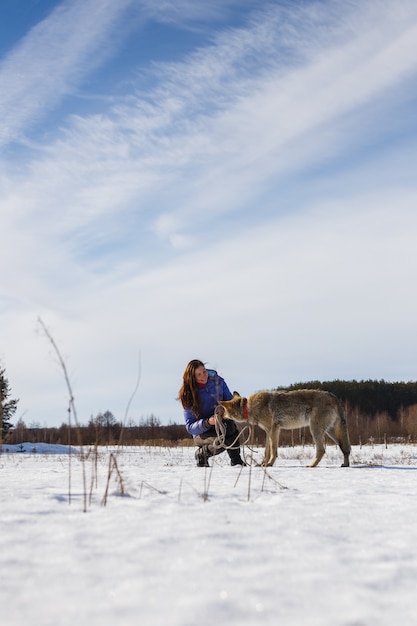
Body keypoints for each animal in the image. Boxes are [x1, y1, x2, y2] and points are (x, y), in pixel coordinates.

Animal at [219, 388, 350, 466]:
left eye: (224, 411)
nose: (220, 415)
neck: (249, 407)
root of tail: (334, 397)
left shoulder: (274, 429)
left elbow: (273, 450)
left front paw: (269, 464)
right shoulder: (269, 432)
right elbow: (266, 451)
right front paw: (262, 464)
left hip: (315, 430)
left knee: (322, 450)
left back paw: (311, 466)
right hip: (330, 432)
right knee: (345, 448)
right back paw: (345, 464)